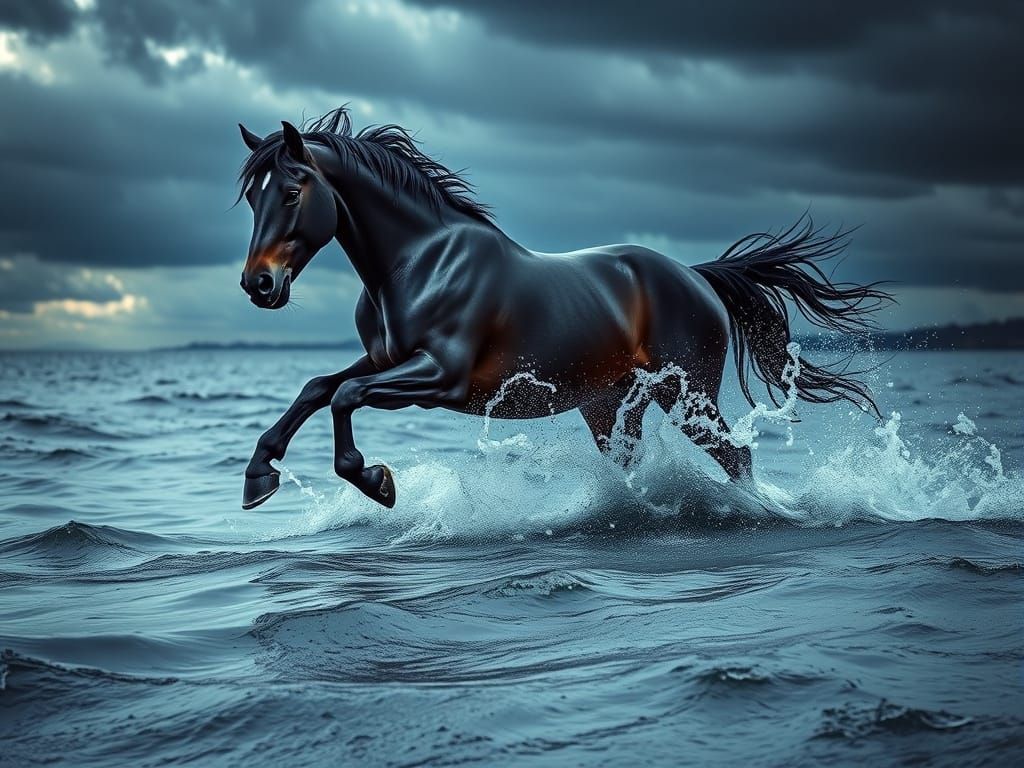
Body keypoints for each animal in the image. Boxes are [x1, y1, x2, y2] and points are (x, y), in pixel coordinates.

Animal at [235, 107, 891, 510]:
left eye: (291, 191)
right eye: (251, 198)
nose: (258, 285)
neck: (419, 262)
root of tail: (696, 277)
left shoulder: (440, 377)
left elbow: (344, 397)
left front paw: (377, 481)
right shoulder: (384, 360)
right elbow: (317, 388)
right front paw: (259, 477)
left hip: (688, 395)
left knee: (738, 455)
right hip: (611, 406)